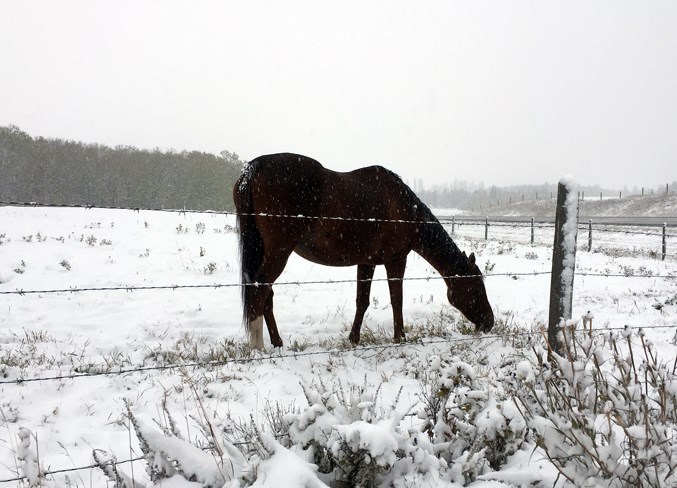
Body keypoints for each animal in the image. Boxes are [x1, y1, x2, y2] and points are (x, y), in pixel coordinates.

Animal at [232, 152, 492, 346]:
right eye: (476, 286)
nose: (489, 322)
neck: (405, 210)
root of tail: (253, 168)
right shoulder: (396, 260)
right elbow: (397, 299)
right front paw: (400, 337)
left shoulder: (366, 262)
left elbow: (362, 301)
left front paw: (353, 338)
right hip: (278, 252)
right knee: (260, 290)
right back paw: (259, 346)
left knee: (266, 294)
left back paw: (277, 342)